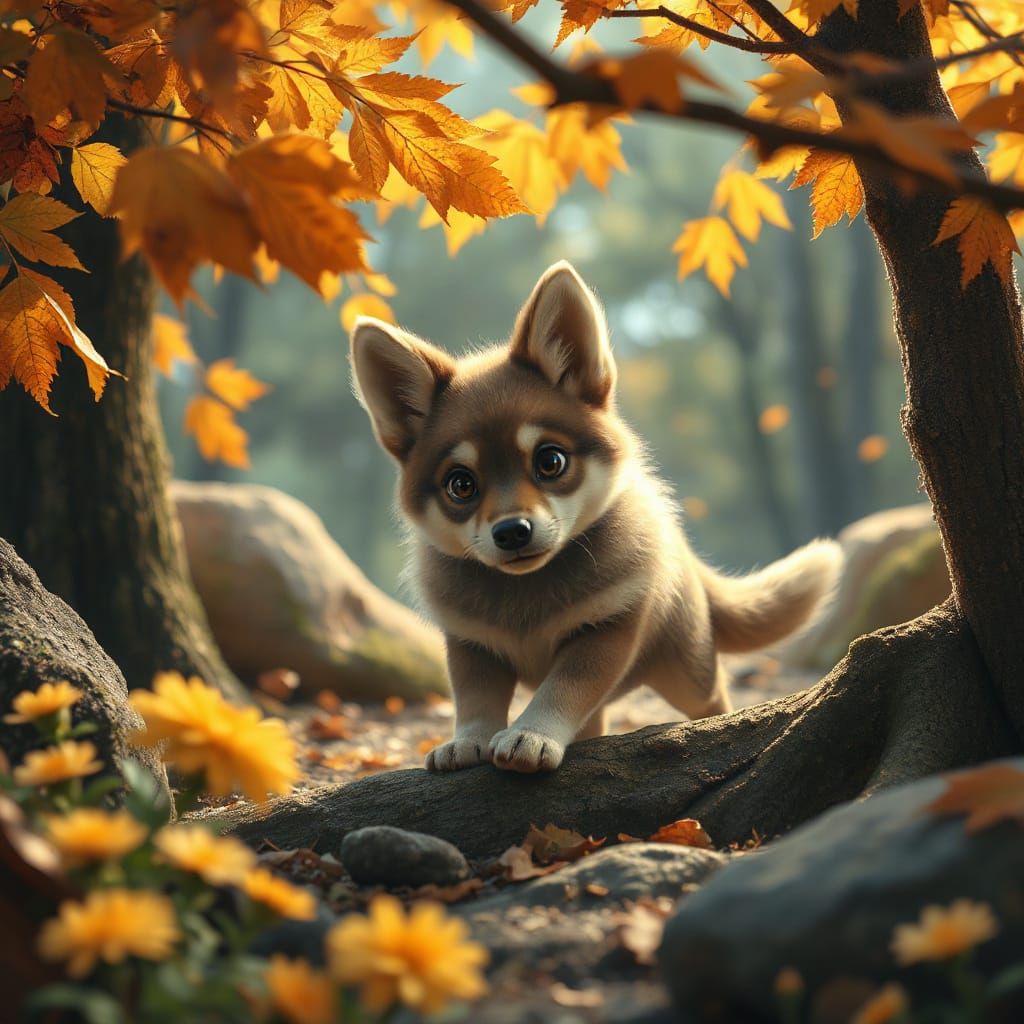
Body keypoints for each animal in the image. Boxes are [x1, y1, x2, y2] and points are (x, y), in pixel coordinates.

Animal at [350, 261, 841, 773]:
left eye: (550, 461)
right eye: (460, 485)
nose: (512, 532)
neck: (528, 598)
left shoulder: (606, 629)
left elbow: (561, 690)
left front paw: (531, 734)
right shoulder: (471, 645)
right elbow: (474, 700)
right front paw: (468, 741)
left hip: (688, 667)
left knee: (712, 698)